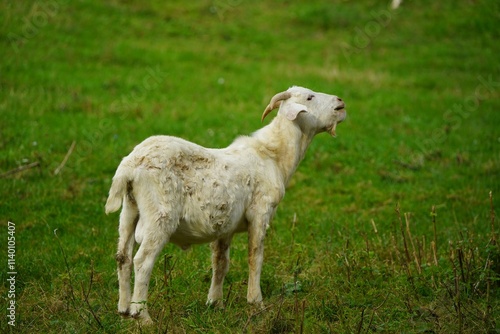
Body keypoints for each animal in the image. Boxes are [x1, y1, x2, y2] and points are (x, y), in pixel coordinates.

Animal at [105, 86, 348, 324]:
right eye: (310, 97)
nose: (340, 102)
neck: (273, 156)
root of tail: (129, 166)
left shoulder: (225, 225)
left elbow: (220, 262)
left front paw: (216, 303)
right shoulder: (260, 212)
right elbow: (255, 256)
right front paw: (256, 303)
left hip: (130, 210)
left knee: (123, 257)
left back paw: (123, 310)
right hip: (160, 214)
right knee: (142, 261)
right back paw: (142, 316)